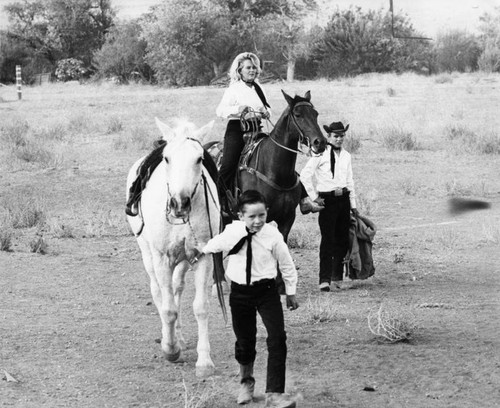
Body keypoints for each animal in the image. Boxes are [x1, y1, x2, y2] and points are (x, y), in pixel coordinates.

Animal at [126, 118, 220, 380]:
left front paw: (204, 362)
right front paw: (170, 350)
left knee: (177, 287)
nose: (180, 203)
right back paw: (170, 338)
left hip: (183, 260)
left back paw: (178, 335)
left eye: (199, 158)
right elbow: (167, 309)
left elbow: (200, 307)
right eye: (167, 158)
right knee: (158, 292)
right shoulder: (161, 258)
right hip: (148, 255)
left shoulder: (203, 256)